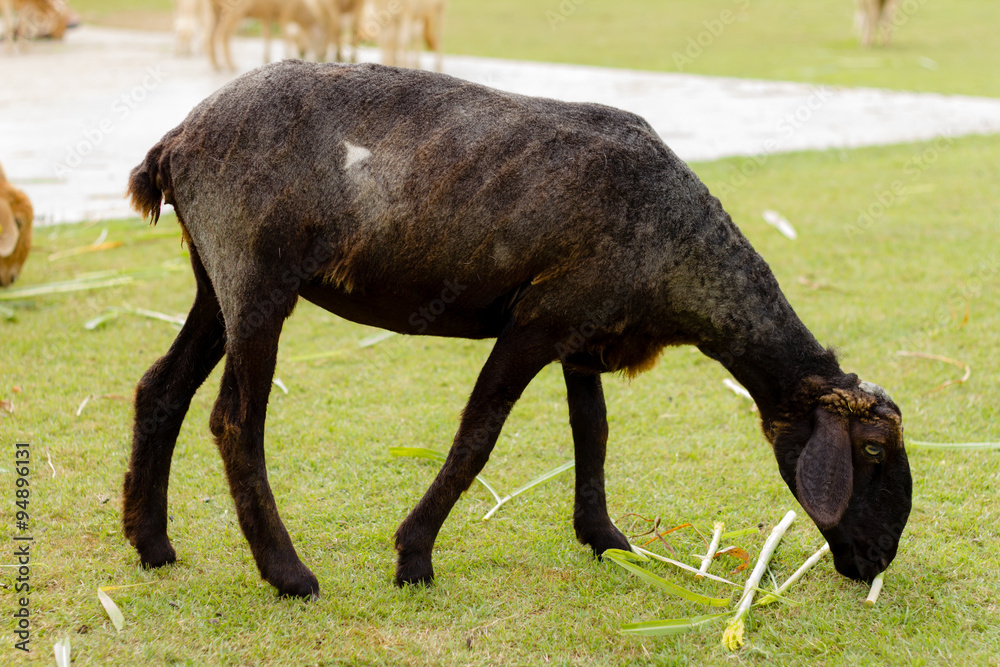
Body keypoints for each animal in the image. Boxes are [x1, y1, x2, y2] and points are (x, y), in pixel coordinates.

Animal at [123, 61, 912, 598]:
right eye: (872, 451)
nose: (879, 558)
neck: (681, 251)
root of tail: (175, 141)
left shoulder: (585, 331)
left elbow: (593, 432)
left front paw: (606, 538)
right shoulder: (542, 317)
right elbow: (479, 434)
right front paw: (414, 555)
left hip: (214, 278)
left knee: (160, 388)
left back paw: (151, 542)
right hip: (256, 277)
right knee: (235, 419)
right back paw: (288, 573)